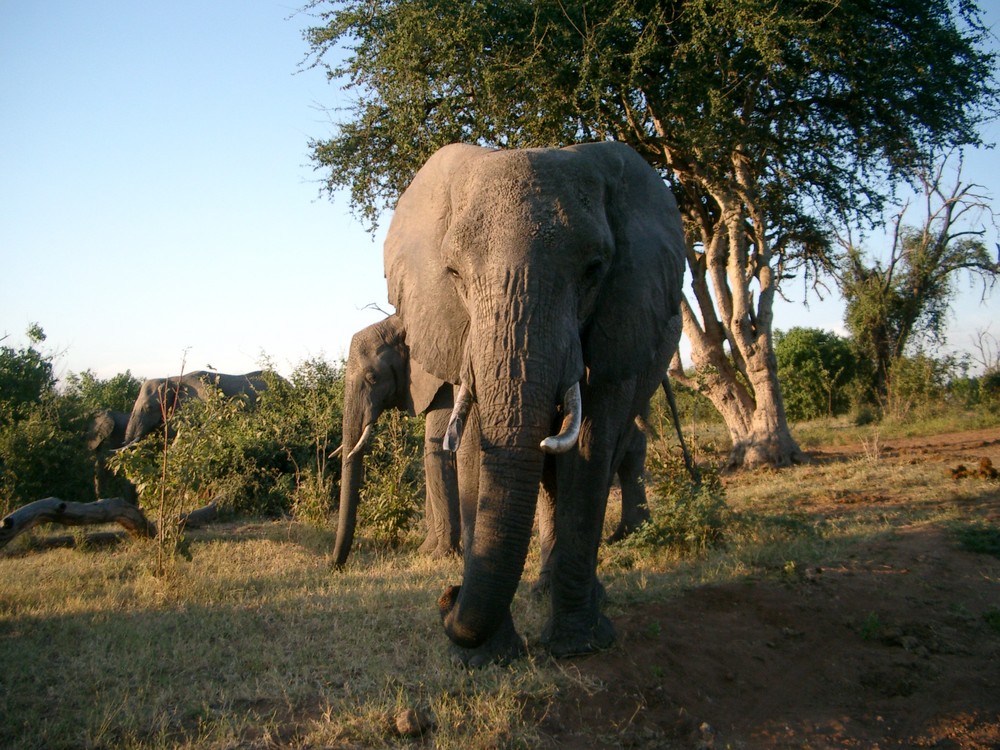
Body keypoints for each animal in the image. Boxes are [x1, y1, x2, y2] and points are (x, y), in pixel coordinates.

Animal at [330, 314, 466, 568]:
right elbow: (431, 450)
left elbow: (438, 449)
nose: (335, 566)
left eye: (372, 378)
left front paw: (441, 556)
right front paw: (425, 551)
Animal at [382, 141, 688, 664]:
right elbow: (473, 452)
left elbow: (590, 450)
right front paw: (487, 658)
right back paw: (541, 589)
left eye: (593, 270)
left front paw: (578, 646)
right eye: (453, 273)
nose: (447, 597)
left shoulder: (620, 322)